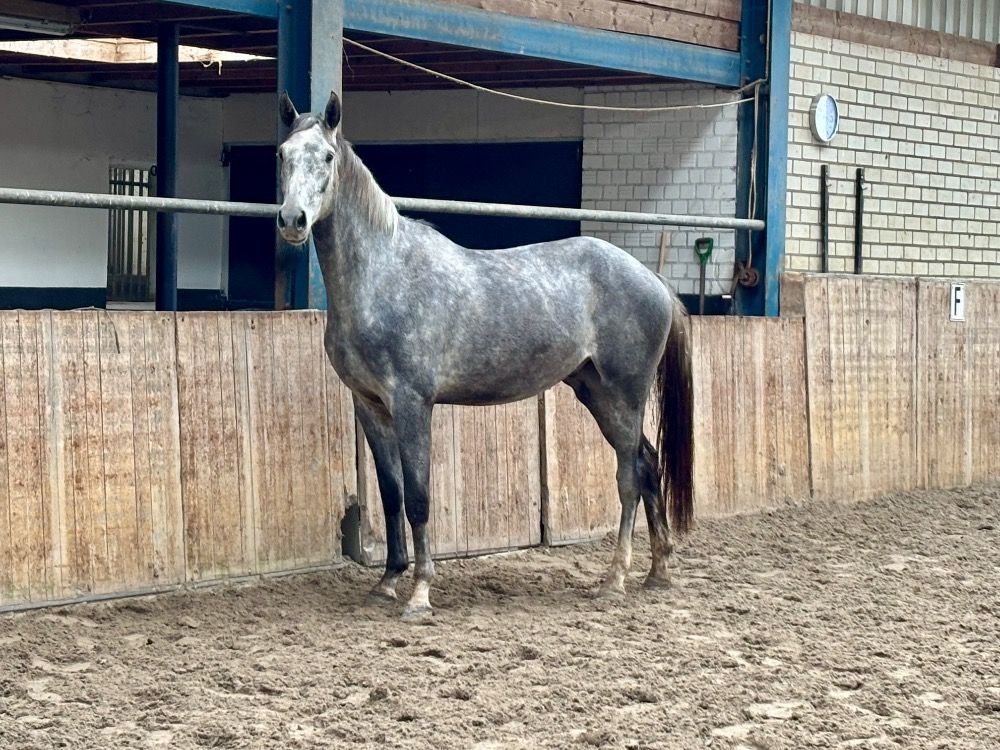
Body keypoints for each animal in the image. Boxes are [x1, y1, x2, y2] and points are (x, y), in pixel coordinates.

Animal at [276, 91, 694, 621]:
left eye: (328, 157)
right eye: (282, 154)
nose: (292, 221)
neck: (385, 274)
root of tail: (653, 279)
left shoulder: (413, 404)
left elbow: (418, 496)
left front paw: (420, 593)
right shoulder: (369, 406)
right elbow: (391, 496)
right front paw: (387, 581)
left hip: (625, 395)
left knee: (629, 476)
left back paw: (615, 578)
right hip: (595, 393)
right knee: (648, 463)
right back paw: (658, 571)